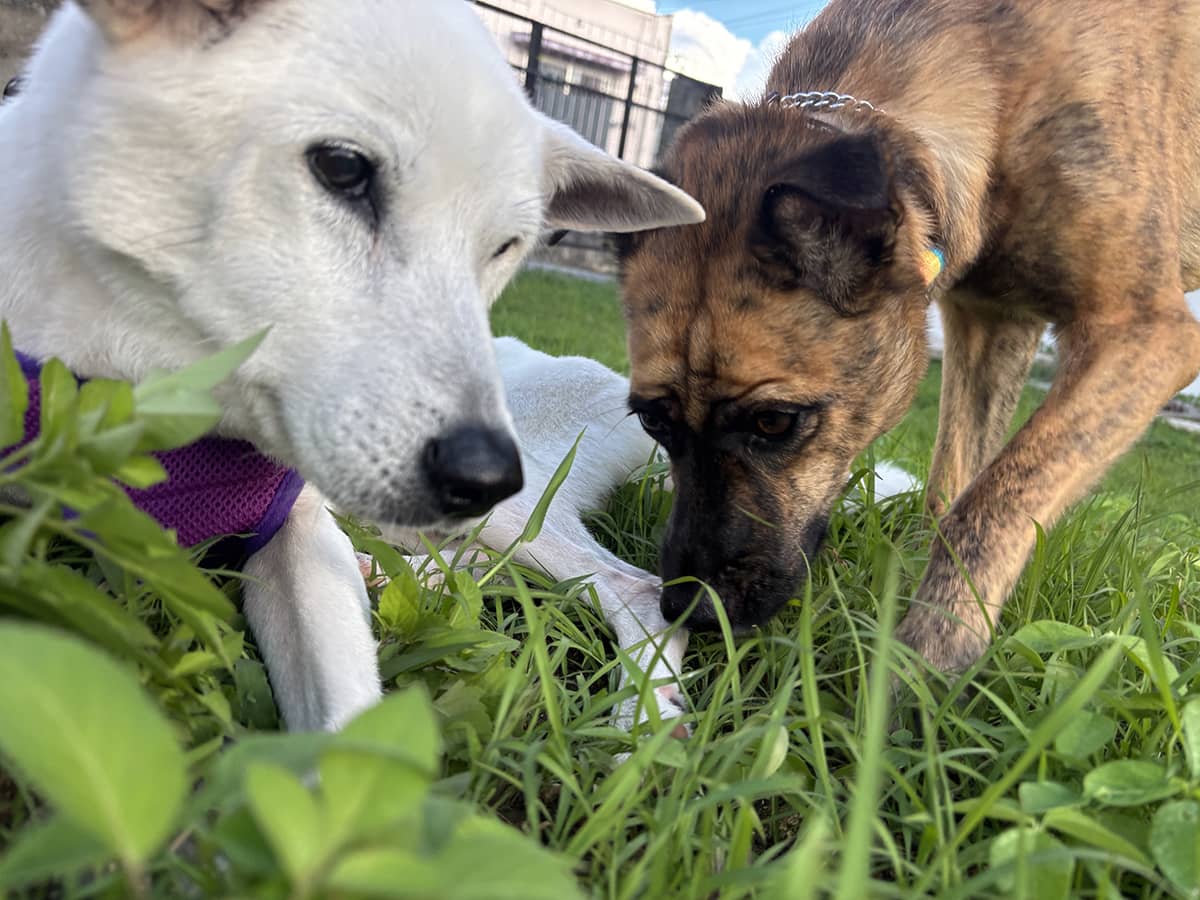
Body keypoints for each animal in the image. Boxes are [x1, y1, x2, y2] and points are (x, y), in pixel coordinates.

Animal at [0, 0, 702, 731]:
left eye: (505, 246)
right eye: (342, 168)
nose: (482, 474)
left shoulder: (299, 530)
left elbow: (348, 728)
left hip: (513, 501)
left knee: (630, 584)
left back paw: (643, 721)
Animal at [614, 0, 1200, 672]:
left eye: (774, 422)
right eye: (652, 421)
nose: (691, 613)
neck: (996, 72)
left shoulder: (1144, 333)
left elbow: (992, 503)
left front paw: (923, 667)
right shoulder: (992, 327)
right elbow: (952, 485)